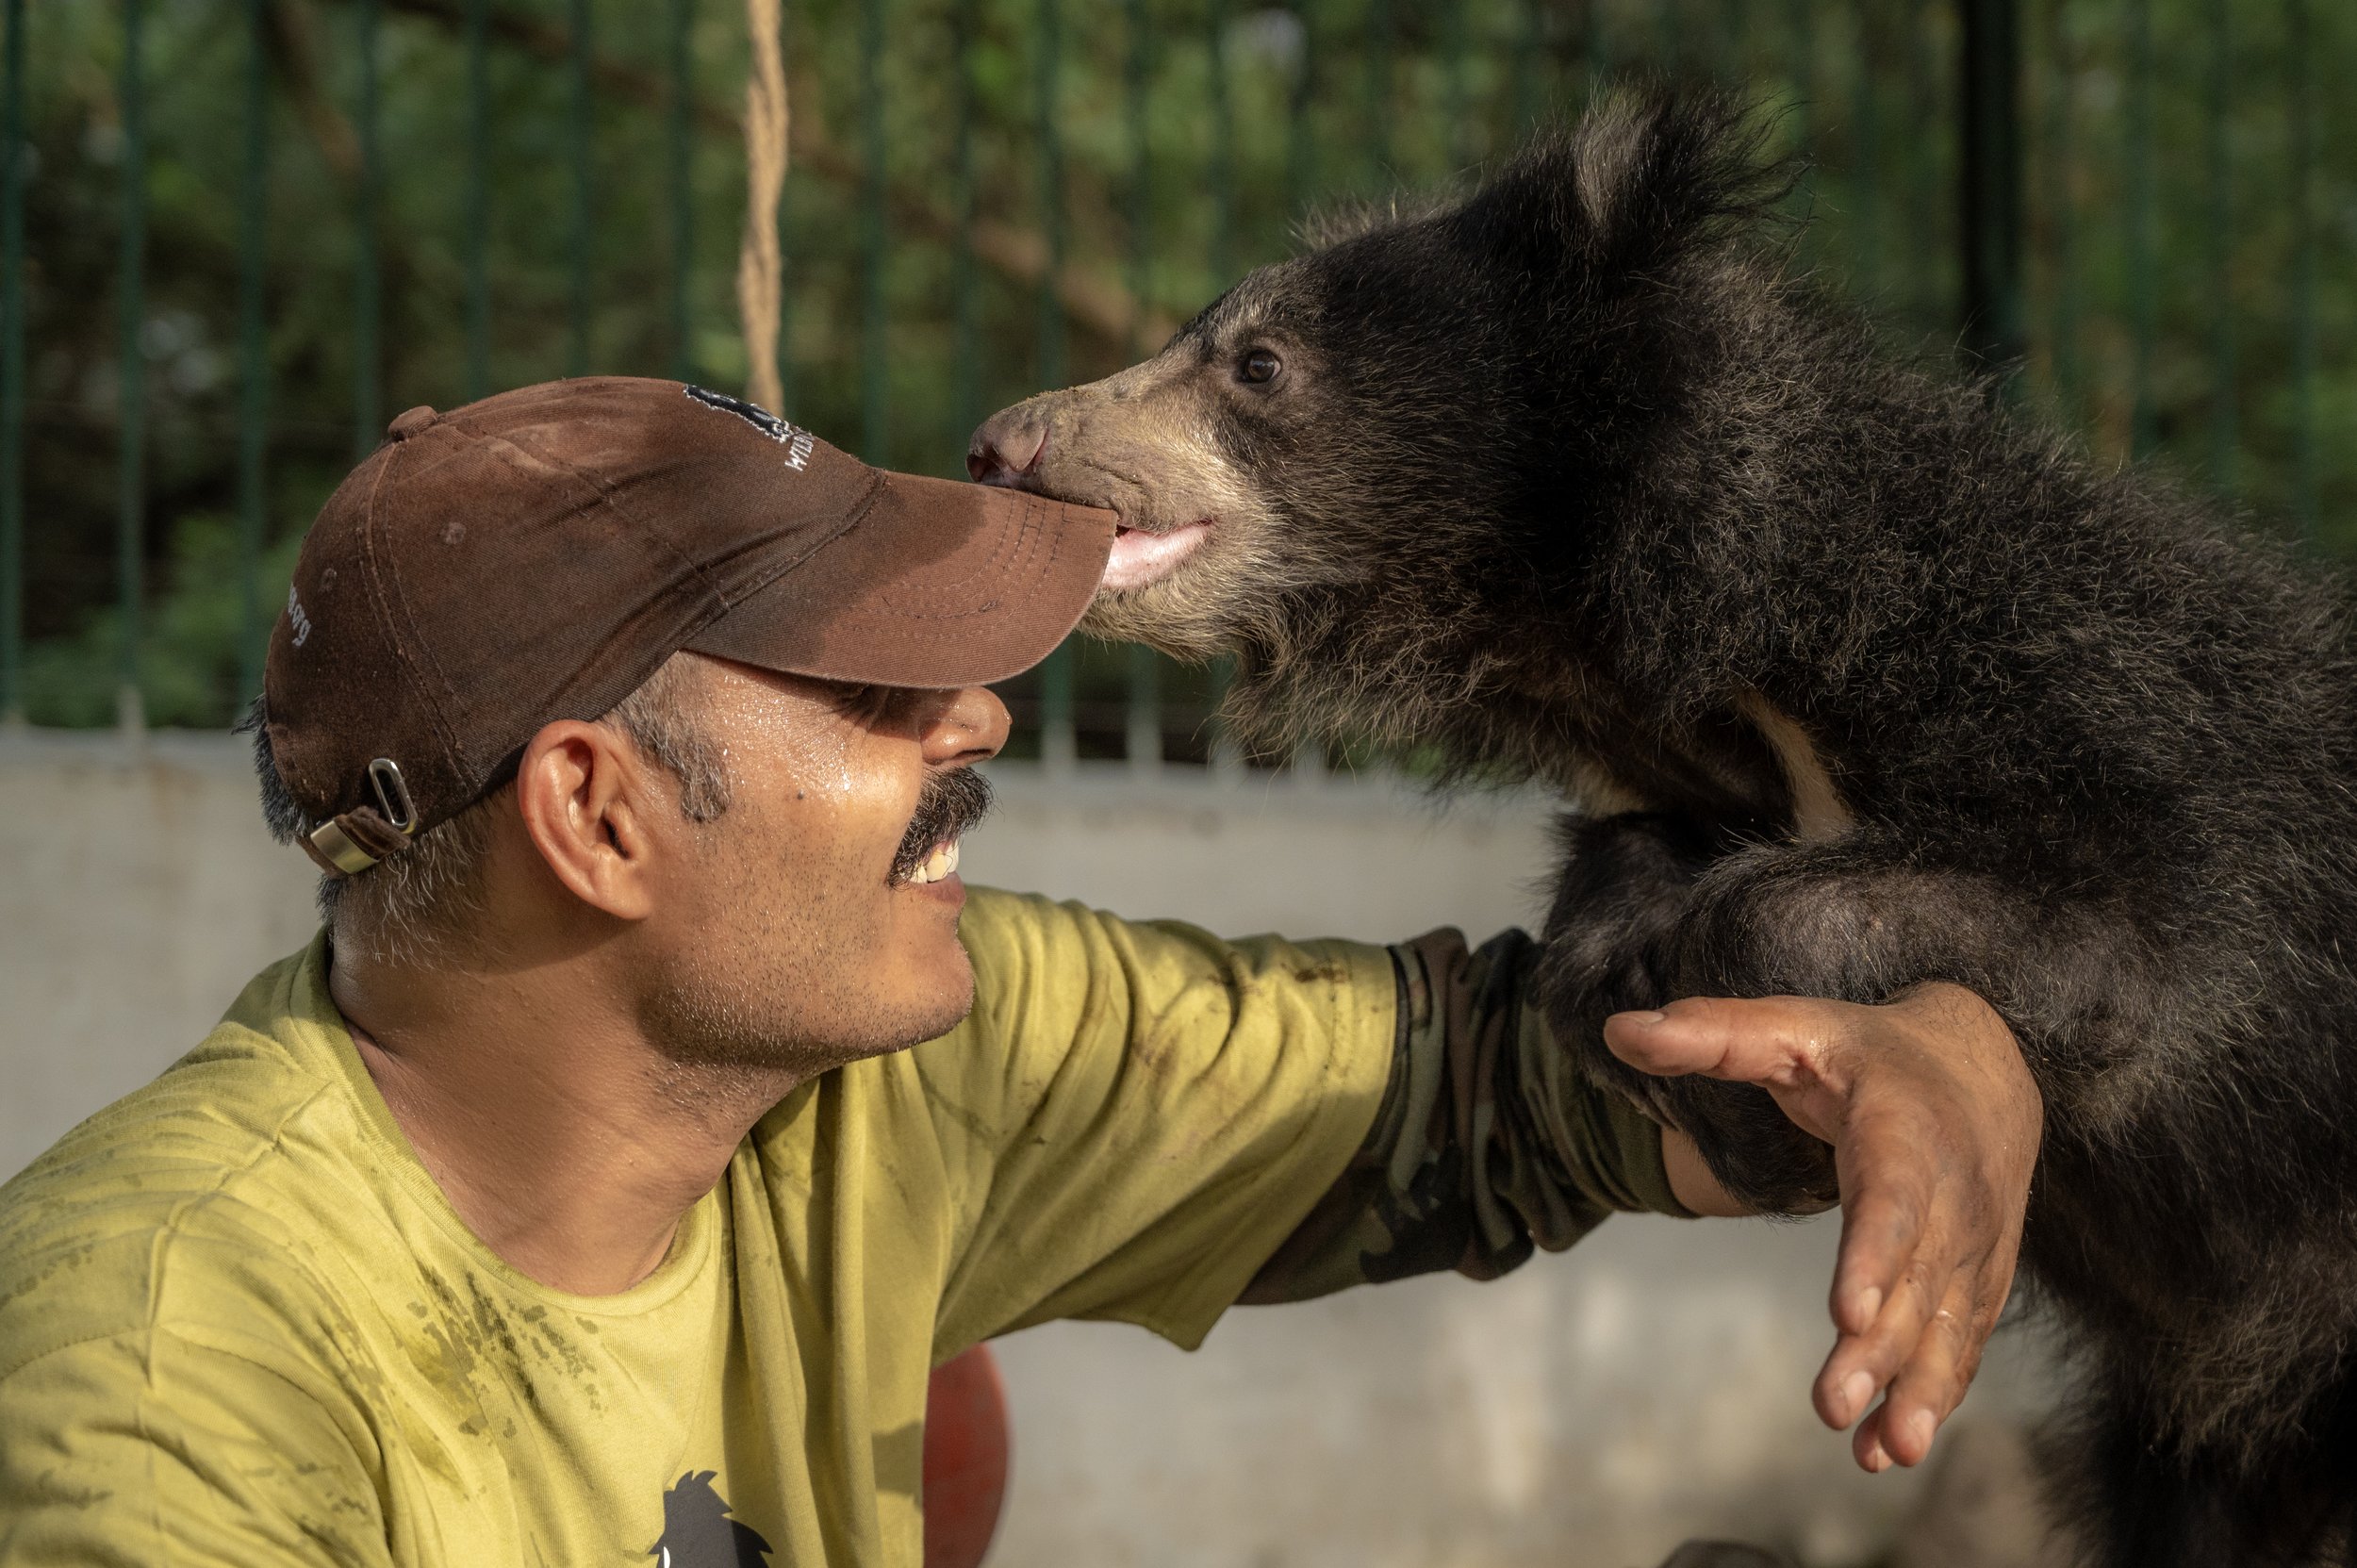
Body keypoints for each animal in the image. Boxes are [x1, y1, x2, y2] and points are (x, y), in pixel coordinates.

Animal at [967, 88, 2357, 1568]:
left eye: (1259, 366)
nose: (1001, 443)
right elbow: (1617, 889)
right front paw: (1642, 999)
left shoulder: (2110, 718)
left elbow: (2143, 938)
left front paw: (1746, 1060)